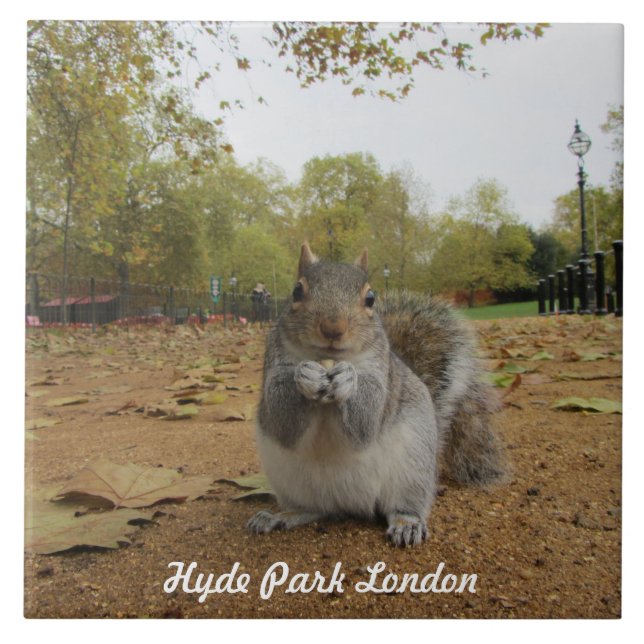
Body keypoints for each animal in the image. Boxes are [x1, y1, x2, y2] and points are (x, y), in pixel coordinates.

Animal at [247, 243, 506, 547]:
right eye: (297, 291)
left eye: (370, 298)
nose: (333, 328)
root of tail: (348, 504)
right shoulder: (273, 364)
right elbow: (281, 418)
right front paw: (305, 375)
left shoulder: (381, 374)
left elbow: (367, 420)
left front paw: (349, 379)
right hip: (289, 481)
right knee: (311, 509)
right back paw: (279, 516)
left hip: (413, 469)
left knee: (402, 506)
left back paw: (407, 524)